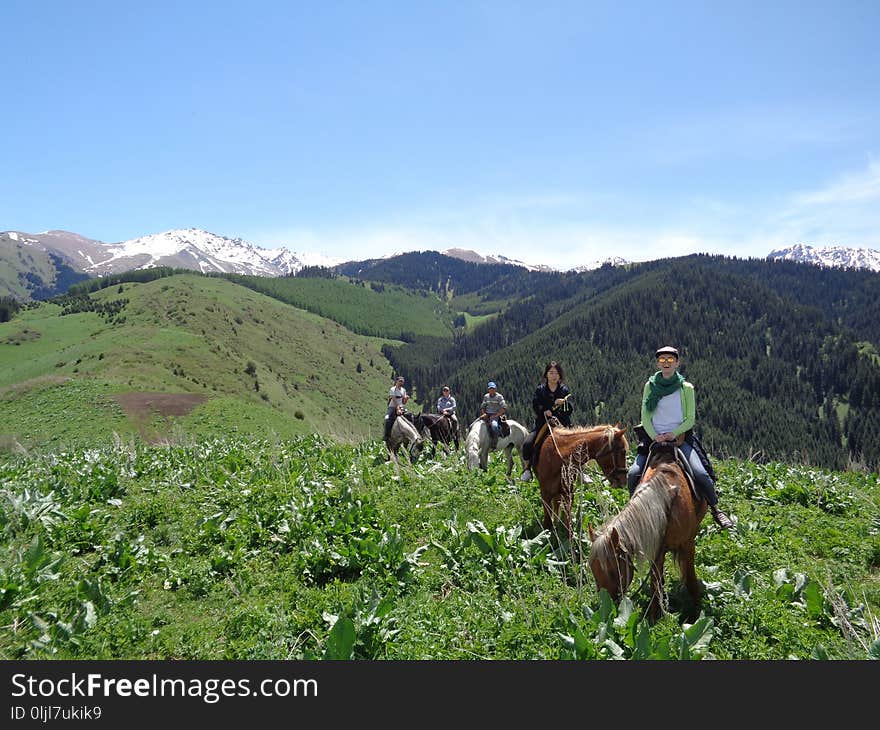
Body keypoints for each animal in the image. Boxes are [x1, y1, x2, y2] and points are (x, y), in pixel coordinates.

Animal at [592, 438, 708, 620]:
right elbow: (655, 583)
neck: (666, 504)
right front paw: (655, 616)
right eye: (593, 571)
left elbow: (690, 579)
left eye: (613, 571)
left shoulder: (688, 545)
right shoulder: (656, 551)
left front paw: (696, 615)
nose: (607, 606)